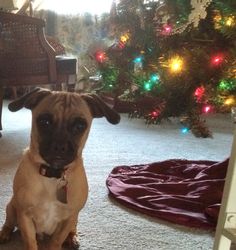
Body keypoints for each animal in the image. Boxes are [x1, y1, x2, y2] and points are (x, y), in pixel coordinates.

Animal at [0, 87, 120, 249]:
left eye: (80, 126)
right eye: (44, 122)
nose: (59, 146)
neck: (53, 175)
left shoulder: (69, 218)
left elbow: (56, 241)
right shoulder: (24, 216)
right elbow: (30, 243)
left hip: (75, 218)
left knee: (73, 229)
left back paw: (72, 238)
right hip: (12, 207)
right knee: (8, 223)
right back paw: (4, 234)